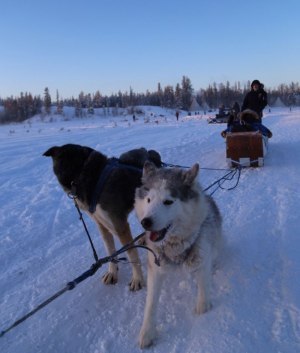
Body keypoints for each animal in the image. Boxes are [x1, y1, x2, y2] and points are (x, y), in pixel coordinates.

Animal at [43, 143, 162, 288]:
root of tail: (148, 151)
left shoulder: (120, 226)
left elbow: (132, 253)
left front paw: (137, 278)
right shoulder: (102, 225)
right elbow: (110, 251)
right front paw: (112, 272)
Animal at [135, 162, 221, 346]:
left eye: (168, 201)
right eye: (148, 200)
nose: (145, 222)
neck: (174, 248)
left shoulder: (202, 256)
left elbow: (203, 285)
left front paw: (203, 304)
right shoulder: (155, 268)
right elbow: (151, 303)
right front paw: (147, 331)